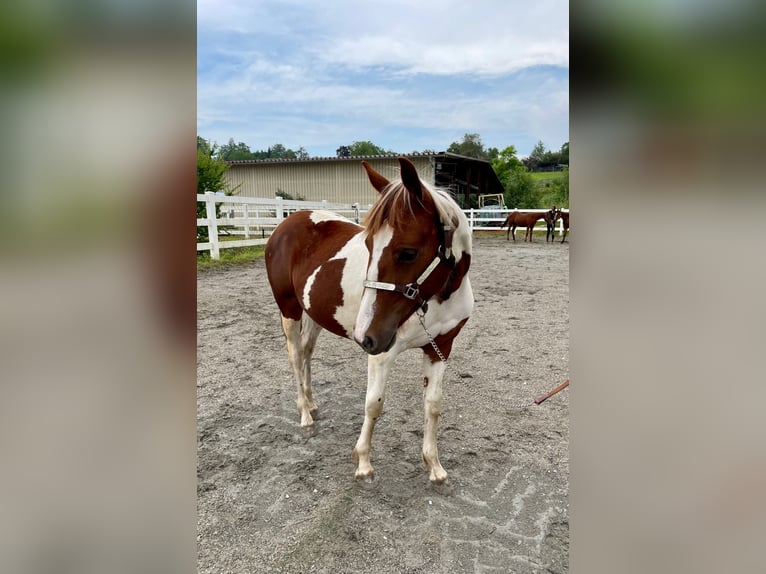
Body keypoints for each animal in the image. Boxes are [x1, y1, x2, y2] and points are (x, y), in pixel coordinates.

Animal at [268, 158, 476, 486]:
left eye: (408, 252)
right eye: (367, 244)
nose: (364, 336)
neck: (437, 297)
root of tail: (287, 223)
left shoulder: (440, 347)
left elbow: (433, 405)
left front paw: (434, 465)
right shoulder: (382, 352)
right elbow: (374, 403)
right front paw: (363, 462)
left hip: (312, 313)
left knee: (306, 352)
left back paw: (312, 404)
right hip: (289, 309)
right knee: (295, 355)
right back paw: (304, 414)